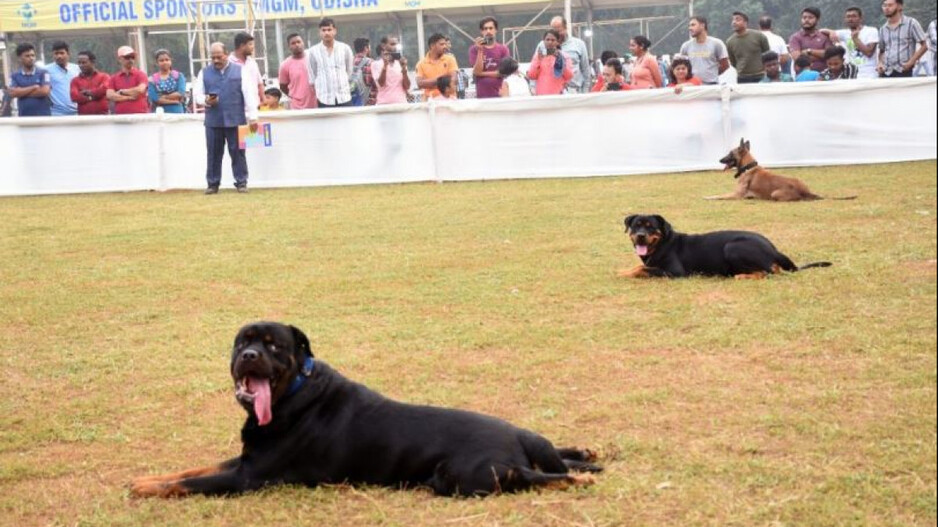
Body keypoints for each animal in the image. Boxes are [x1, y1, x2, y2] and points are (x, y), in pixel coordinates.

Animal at [704, 138, 852, 202]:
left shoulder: (736, 195)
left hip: (775, 193)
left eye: (730, 153)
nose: (719, 160)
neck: (748, 167)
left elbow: (719, 196)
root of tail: (805, 191)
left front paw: (708, 197)